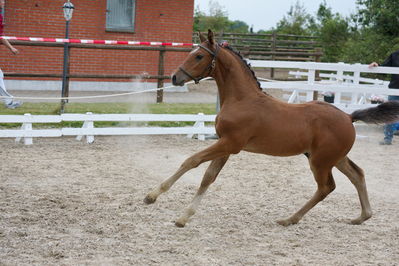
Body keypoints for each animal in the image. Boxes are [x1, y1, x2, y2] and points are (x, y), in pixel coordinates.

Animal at [145, 30, 399, 228]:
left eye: (198, 55)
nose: (175, 77)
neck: (242, 99)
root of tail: (348, 116)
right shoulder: (225, 144)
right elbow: (209, 177)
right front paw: (184, 216)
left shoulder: (230, 144)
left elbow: (191, 161)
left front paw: (152, 196)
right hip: (332, 157)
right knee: (357, 174)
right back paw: (362, 216)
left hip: (320, 161)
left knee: (326, 187)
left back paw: (289, 219)